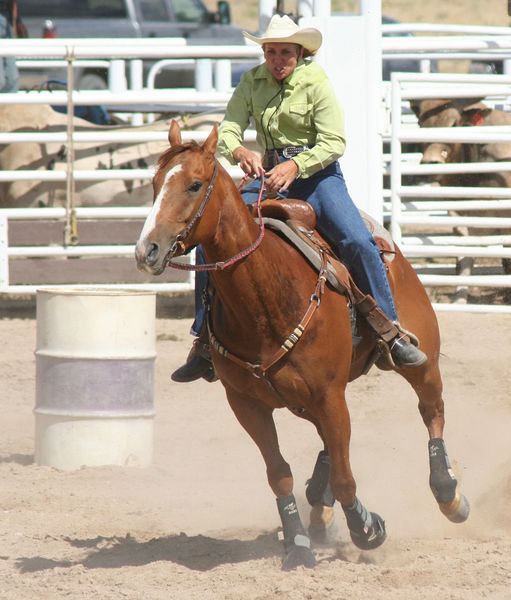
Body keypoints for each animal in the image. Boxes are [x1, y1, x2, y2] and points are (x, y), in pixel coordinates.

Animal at [135, 119, 468, 568]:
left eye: (194, 184)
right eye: (155, 184)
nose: (146, 250)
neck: (265, 297)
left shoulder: (329, 395)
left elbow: (346, 478)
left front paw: (366, 528)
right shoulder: (248, 405)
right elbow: (280, 475)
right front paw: (297, 544)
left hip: (421, 361)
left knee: (431, 410)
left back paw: (449, 494)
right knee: (330, 446)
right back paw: (318, 509)